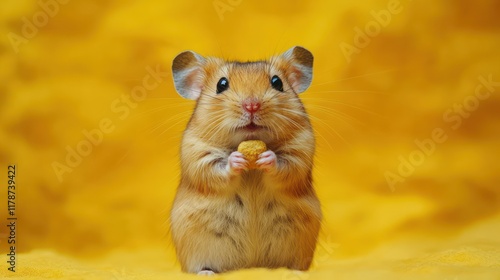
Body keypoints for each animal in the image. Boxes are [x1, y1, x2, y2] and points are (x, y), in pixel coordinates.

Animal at [170, 46, 322, 276]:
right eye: (221, 84)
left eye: (277, 82)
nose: (252, 105)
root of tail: (251, 263)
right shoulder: (197, 153)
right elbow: (216, 167)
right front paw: (237, 159)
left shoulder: (301, 151)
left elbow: (285, 166)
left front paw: (266, 157)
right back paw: (207, 273)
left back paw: (295, 272)